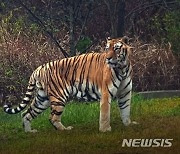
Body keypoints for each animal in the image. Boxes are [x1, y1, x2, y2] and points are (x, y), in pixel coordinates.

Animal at [3, 36, 137, 132]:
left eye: (116, 48)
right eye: (107, 48)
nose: (108, 58)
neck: (122, 68)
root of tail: (39, 68)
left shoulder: (125, 93)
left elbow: (126, 109)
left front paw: (128, 124)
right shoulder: (106, 93)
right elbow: (105, 113)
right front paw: (105, 130)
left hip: (42, 99)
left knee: (26, 113)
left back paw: (29, 132)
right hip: (59, 97)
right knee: (52, 118)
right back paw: (65, 129)